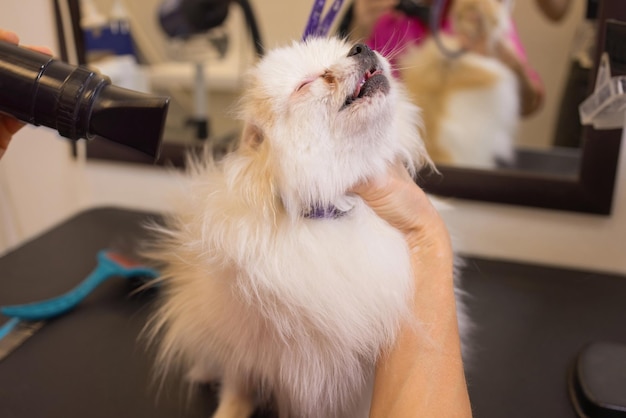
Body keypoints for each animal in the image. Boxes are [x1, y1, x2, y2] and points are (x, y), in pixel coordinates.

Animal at [145, 36, 444, 418]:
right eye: (306, 84)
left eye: (345, 49)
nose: (360, 49)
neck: (332, 208)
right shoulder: (244, 341)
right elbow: (237, 386)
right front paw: (229, 410)